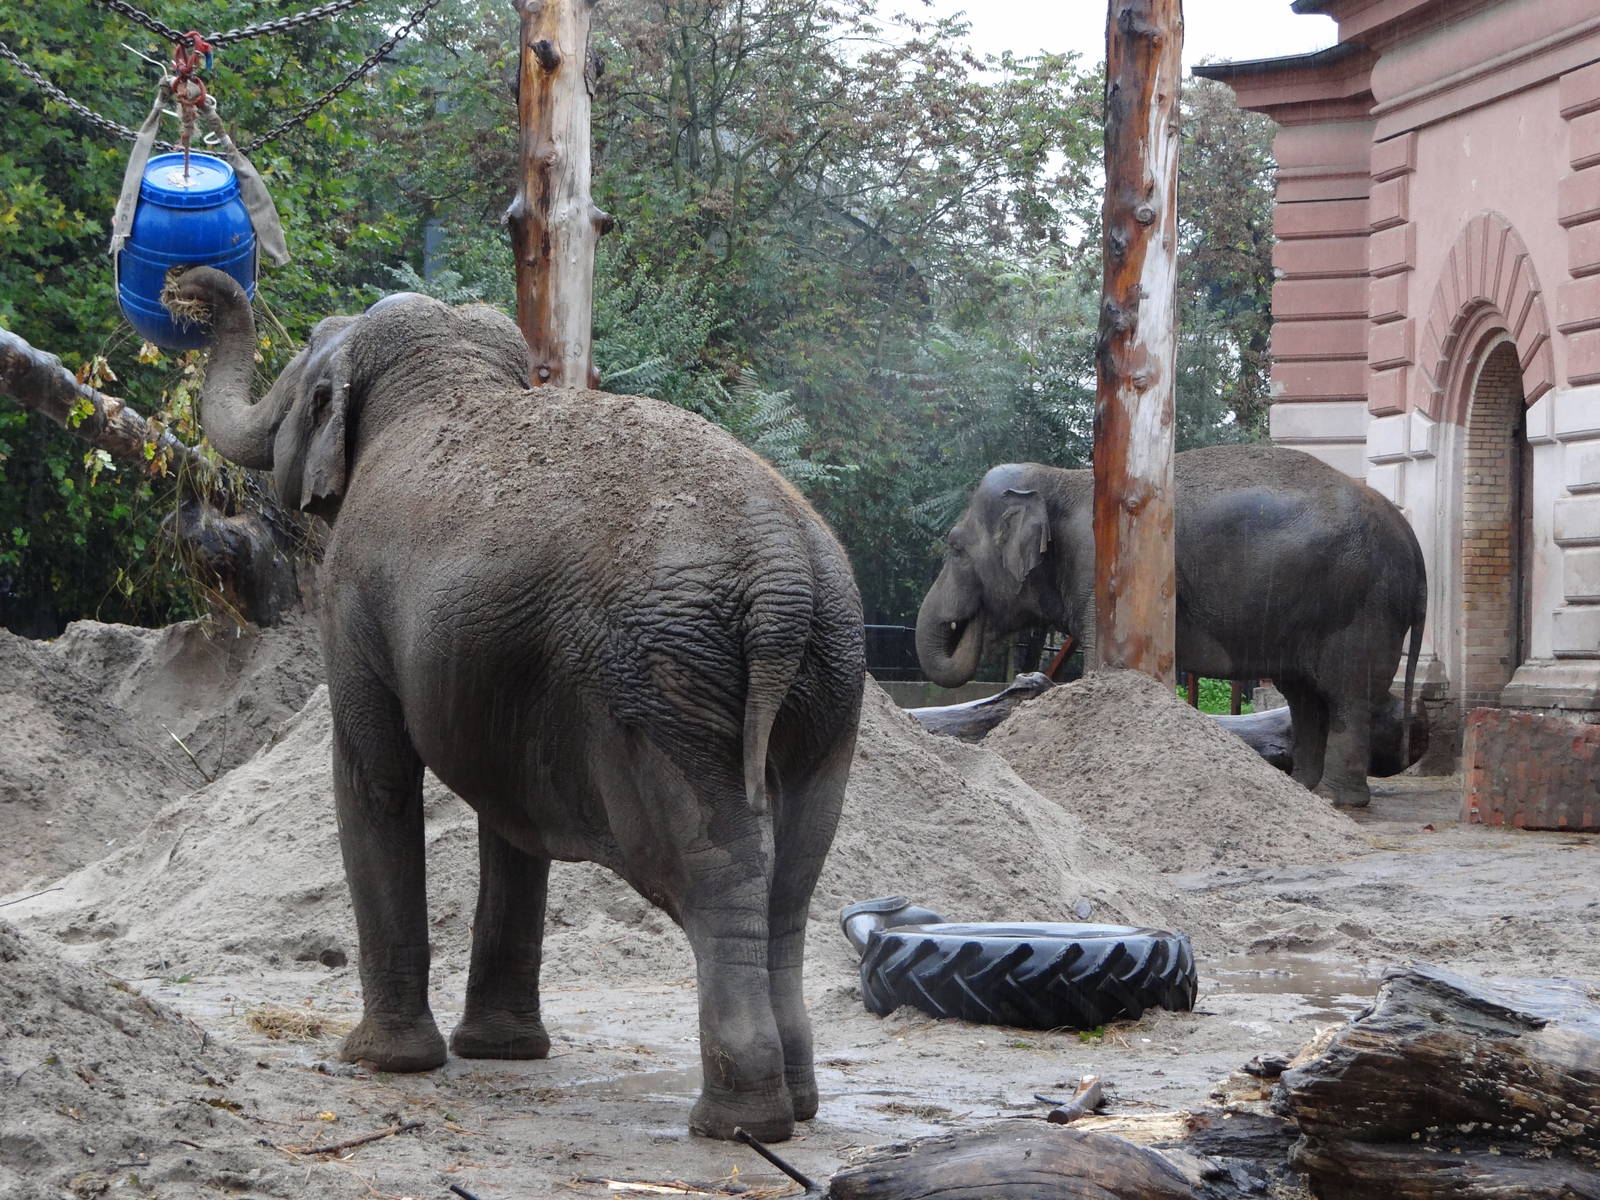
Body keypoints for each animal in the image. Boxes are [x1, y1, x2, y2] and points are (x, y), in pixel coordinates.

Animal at [170, 266, 865, 1142]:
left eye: (300, 378)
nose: (184, 289)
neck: (447, 371)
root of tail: (783, 574)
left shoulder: (351, 594)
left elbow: (375, 775)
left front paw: (380, 1062)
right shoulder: (510, 679)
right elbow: (511, 819)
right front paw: (501, 1053)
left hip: (669, 684)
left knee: (714, 870)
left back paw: (740, 1124)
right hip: (830, 681)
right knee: (796, 876)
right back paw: (797, 1106)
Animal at [915, 444, 1426, 807]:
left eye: (955, 546)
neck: (1061, 478)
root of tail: (1411, 539)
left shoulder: (1101, 570)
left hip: (1362, 605)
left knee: (1346, 695)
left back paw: (1336, 800)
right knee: (1305, 698)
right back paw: (1303, 789)